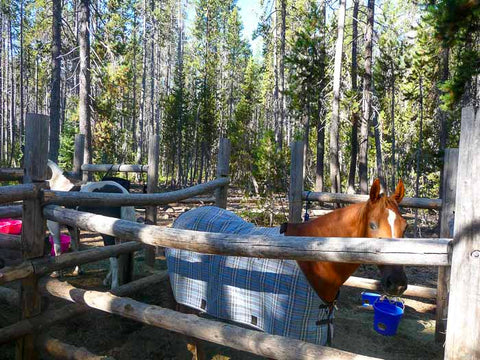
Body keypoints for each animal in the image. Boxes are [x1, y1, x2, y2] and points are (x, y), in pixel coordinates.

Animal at [166, 178, 408, 358]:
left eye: (405, 227)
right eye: (372, 225)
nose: (397, 284)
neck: (316, 256)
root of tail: (183, 216)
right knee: (192, 337)